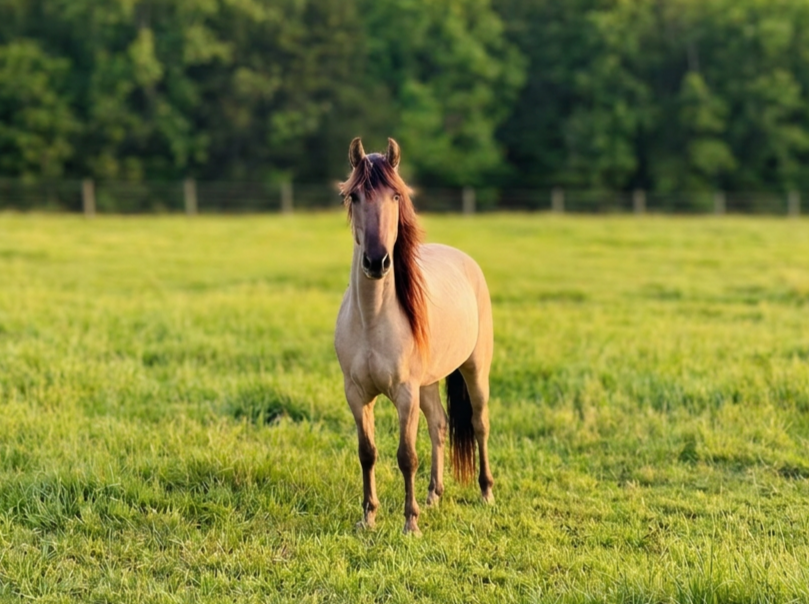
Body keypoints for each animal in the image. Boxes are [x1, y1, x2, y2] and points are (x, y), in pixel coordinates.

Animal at [334, 137, 494, 535]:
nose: (376, 261)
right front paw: (368, 517)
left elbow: (406, 456)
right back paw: (434, 494)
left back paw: (486, 491)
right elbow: (367, 452)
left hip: (475, 369)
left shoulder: (405, 394)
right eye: (353, 196)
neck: (373, 318)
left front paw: (410, 523)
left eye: (395, 195)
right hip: (429, 383)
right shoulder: (356, 394)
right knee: (439, 425)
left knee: (479, 423)